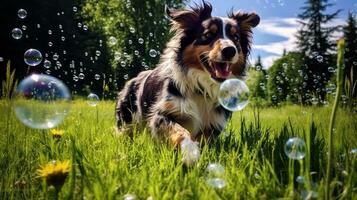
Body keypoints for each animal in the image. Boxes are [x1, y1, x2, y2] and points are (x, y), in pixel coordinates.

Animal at [116, 1, 258, 165]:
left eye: (235, 38)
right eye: (208, 35)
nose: (230, 50)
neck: (203, 89)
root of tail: (132, 79)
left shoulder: (213, 125)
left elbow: (201, 140)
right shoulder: (160, 115)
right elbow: (181, 131)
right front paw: (191, 153)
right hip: (126, 121)